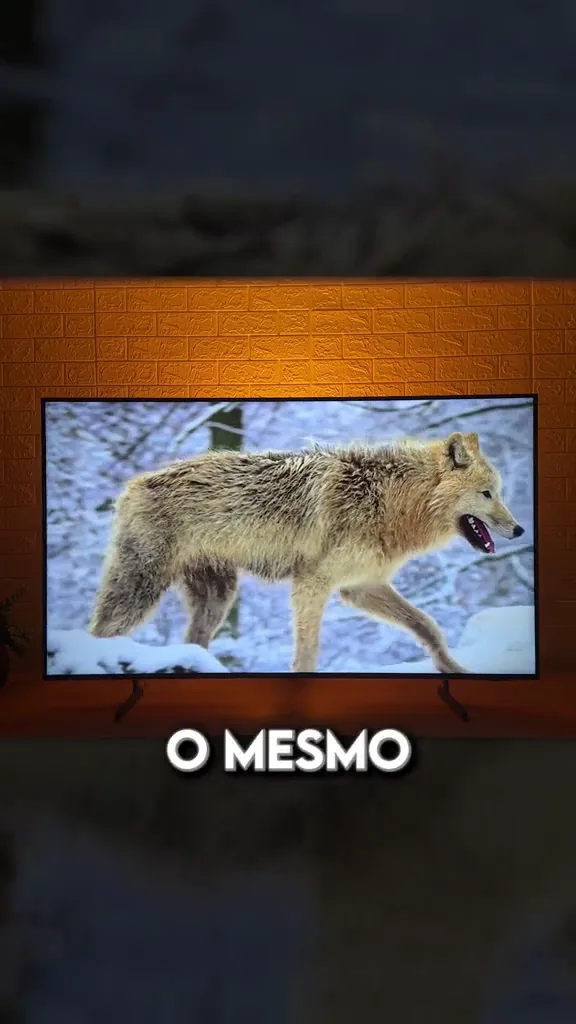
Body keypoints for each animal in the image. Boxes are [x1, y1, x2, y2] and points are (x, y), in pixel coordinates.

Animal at [89, 431, 524, 674]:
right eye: (488, 494)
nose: (519, 529)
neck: (389, 501)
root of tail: (131, 485)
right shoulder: (312, 583)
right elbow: (308, 651)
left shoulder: (361, 587)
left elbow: (428, 627)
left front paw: (455, 669)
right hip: (143, 590)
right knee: (100, 633)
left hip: (218, 599)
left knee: (192, 642)